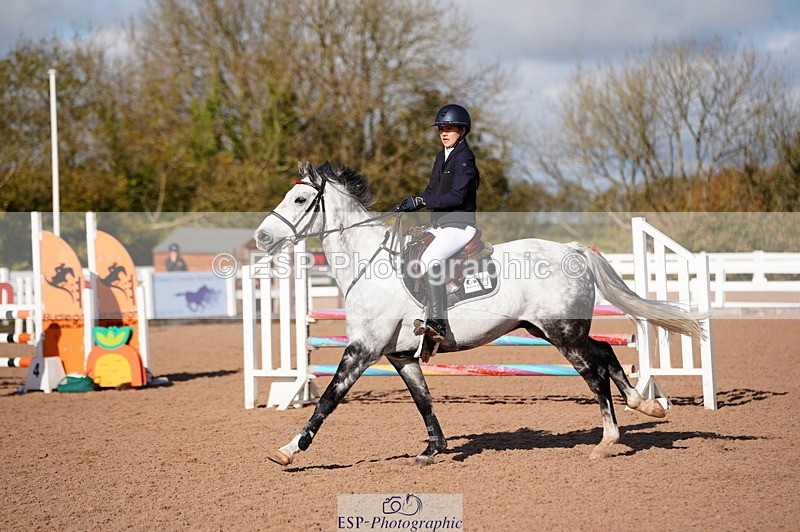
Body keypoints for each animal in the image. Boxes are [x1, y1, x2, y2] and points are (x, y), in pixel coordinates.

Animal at [254, 162, 704, 466]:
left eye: (299, 199)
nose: (261, 238)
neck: (369, 262)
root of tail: (573, 249)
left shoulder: (363, 349)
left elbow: (328, 399)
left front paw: (289, 449)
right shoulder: (399, 355)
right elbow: (423, 400)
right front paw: (434, 449)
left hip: (562, 333)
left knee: (594, 372)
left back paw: (608, 441)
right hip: (551, 329)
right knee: (606, 353)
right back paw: (646, 406)